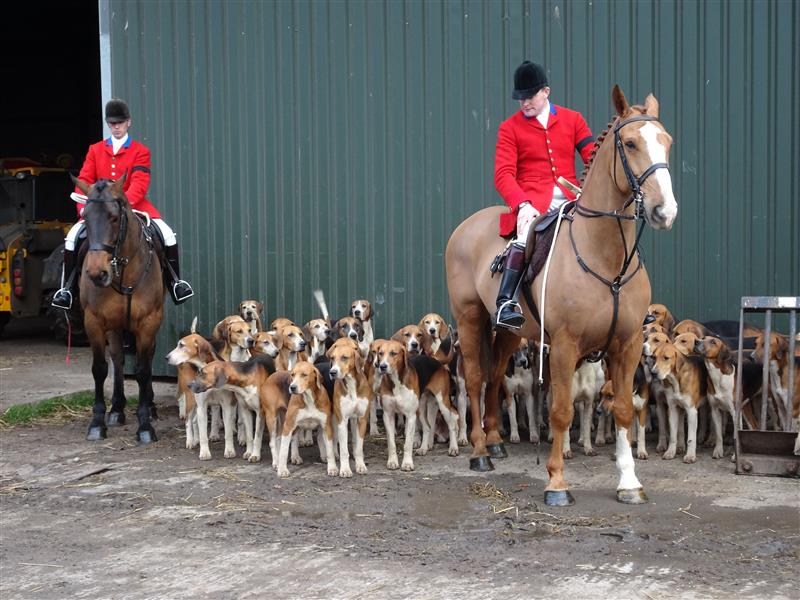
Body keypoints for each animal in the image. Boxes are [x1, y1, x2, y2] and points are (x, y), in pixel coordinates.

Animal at [72, 175, 165, 443]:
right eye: (85, 217)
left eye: (114, 217)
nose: (96, 273)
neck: (121, 267)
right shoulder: (93, 322)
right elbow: (100, 369)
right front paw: (97, 423)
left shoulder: (148, 321)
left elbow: (143, 370)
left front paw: (145, 425)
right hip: (113, 325)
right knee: (118, 358)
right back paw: (116, 409)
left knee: (146, 357)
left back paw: (150, 408)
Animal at [445, 85, 677, 506]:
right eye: (631, 143)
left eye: (666, 141)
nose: (664, 211)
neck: (607, 259)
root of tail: (468, 225)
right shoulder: (566, 346)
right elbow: (561, 412)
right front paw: (556, 483)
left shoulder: (627, 345)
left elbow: (621, 410)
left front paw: (629, 483)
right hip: (469, 318)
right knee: (475, 380)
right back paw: (480, 452)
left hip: (510, 331)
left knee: (495, 373)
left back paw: (495, 440)